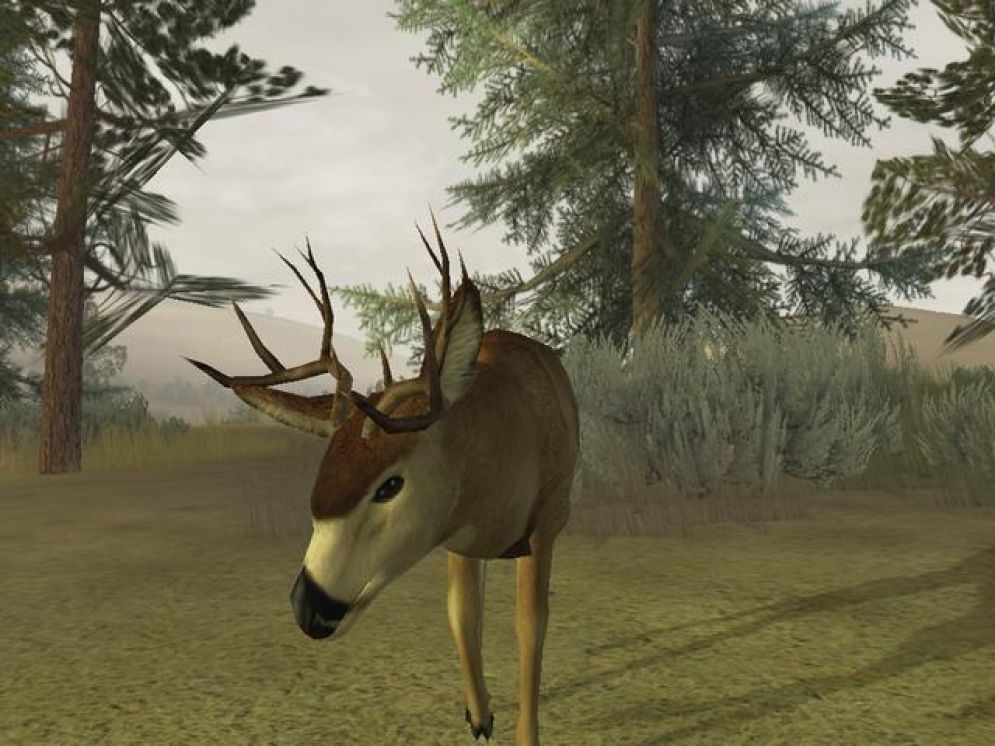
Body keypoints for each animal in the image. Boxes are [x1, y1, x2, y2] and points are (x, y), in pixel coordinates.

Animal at [185, 216, 579, 746]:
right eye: (320, 482)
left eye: (389, 486)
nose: (309, 609)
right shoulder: (455, 537)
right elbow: (461, 613)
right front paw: (479, 718)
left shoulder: (543, 525)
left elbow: (531, 626)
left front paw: (525, 734)